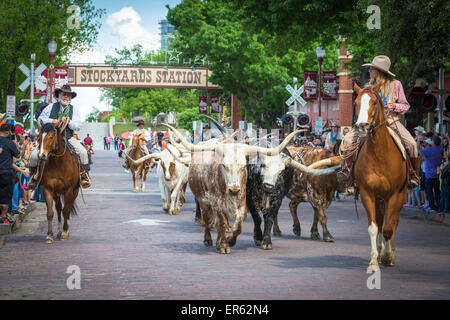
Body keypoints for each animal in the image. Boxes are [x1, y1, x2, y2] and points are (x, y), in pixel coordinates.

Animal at [354, 83, 410, 272]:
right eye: (356, 103)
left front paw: (387, 256)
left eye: (373, 102)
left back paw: (389, 252)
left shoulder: (395, 194)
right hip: (379, 198)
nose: (362, 125)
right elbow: (374, 227)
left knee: (393, 223)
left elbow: (388, 228)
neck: (379, 154)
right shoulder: (367, 193)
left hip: (396, 197)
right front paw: (374, 260)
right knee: (380, 220)